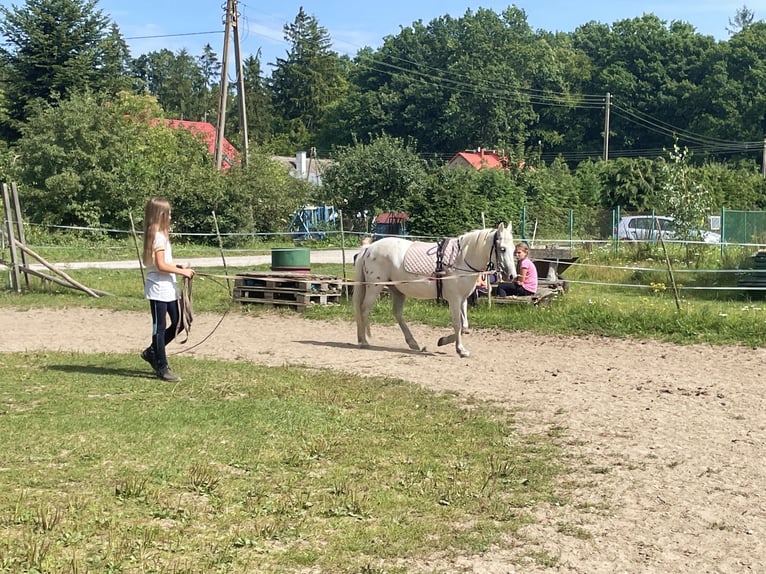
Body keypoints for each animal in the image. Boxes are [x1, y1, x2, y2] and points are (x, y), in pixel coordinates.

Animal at [352, 223, 516, 358]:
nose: (512, 275)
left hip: (397, 290)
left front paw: (443, 341)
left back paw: (413, 343)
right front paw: (460, 350)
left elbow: (465, 326)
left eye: (514, 249)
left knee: (397, 313)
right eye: (502, 249)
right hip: (374, 287)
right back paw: (364, 341)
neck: (461, 260)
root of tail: (368, 249)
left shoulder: (462, 299)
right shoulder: (454, 299)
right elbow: (457, 324)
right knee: (364, 309)